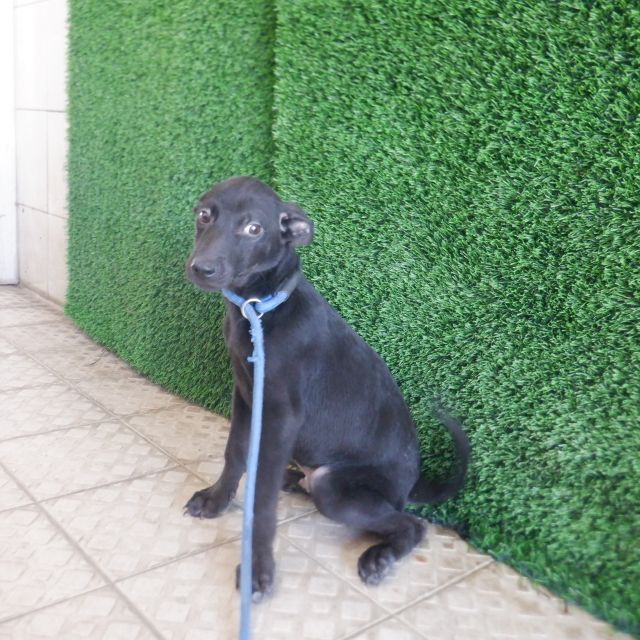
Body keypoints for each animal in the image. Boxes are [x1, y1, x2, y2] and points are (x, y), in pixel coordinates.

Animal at [184, 176, 470, 599]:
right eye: (205, 214)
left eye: (254, 229)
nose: (202, 268)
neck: (258, 310)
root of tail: (409, 486)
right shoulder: (245, 395)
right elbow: (235, 452)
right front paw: (217, 500)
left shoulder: (281, 416)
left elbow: (262, 499)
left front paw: (257, 570)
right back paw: (292, 478)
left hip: (333, 486)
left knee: (411, 524)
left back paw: (381, 557)